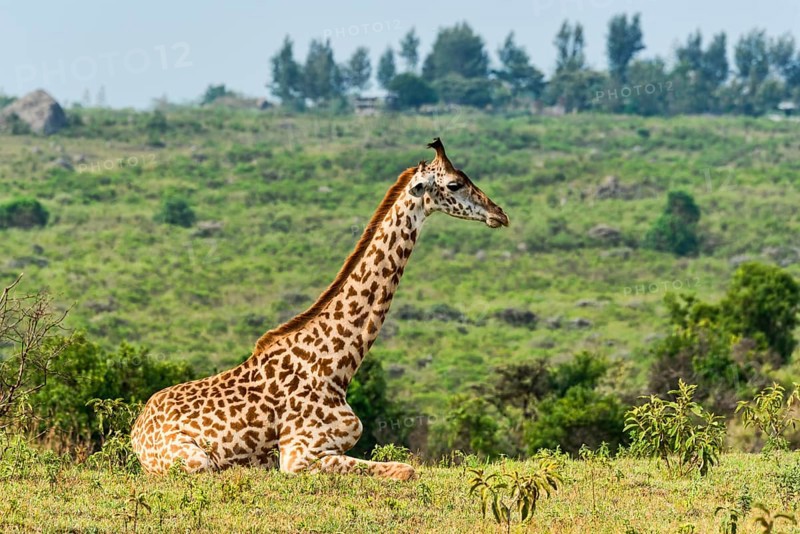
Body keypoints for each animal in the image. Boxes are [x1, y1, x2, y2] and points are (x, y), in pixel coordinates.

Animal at [131, 138, 509, 480]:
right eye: (454, 184)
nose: (500, 214)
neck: (336, 366)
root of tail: (136, 430)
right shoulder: (299, 455)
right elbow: (406, 469)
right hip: (193, 461)